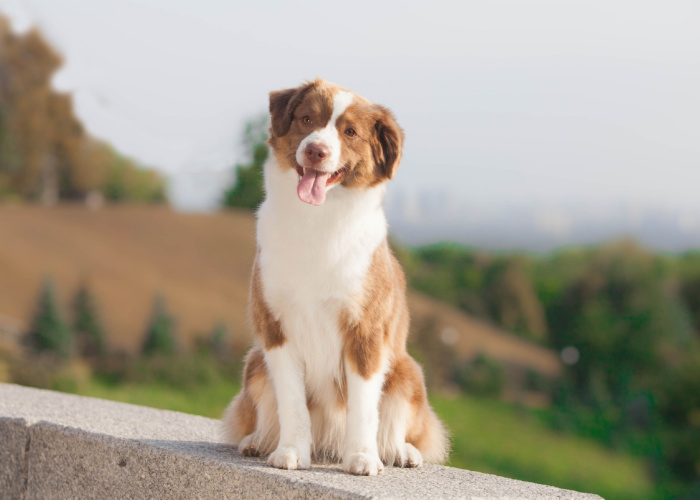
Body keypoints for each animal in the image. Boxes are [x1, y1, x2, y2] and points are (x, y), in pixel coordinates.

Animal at [221, 79, 446, 476]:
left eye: (350, 132)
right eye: (307, 119)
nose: (315, 151)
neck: (318, 220)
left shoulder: (365, 333)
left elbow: (363, 407)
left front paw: (362, 457)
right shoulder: (275, 329)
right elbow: (292, 403)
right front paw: (292, 452)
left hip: (408, 372)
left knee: (400, 422)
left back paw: (400, 451)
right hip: (255, 364)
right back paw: (258, 441)